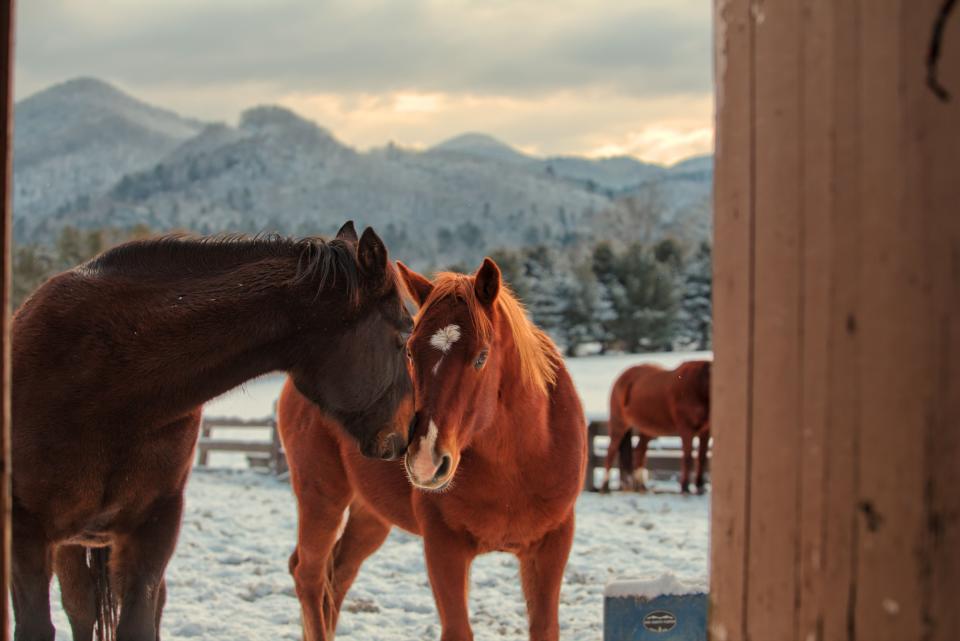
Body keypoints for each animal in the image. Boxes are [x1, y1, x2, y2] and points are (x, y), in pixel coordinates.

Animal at [12, 224, 416, 640]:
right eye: (404, 337)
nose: (405, 435)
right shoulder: (25, 533)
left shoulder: (154, 529)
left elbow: (138, 623)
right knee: (81, 611)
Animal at [278, 258, 584, 640]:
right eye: (410, 351)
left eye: (481, 356)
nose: (425, 460)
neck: (517, 463)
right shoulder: (443, 545)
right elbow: (457, 629)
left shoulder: (551, 545)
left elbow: (544, 627)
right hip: (322, 498)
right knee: (309, 575)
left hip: (370, 515)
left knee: (337, 576)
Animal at [600, 358, 712, 492]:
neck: (697, 386)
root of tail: (621, 378)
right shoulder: (686, 430)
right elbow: (688, 458)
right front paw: (685, 487)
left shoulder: (705, 432)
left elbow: (702, 458)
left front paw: (700, 487)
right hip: (619, 424)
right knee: (611, 452)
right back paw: (604, 487)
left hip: (646, 429)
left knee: (639, 452)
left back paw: (641, 487)